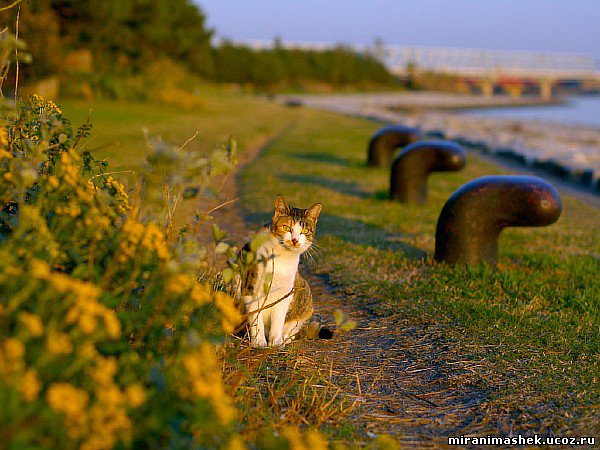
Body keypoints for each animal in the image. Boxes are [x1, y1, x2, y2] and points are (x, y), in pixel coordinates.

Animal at [236, 194, 324, 348]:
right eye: (286, 227)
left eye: (304, 231)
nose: (295, 240)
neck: (282, 257)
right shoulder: (251, 289)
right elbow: (256, 317)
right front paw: (259, 341)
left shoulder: (285, 293)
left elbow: (278, 319)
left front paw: (276, 341)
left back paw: (285, 338)